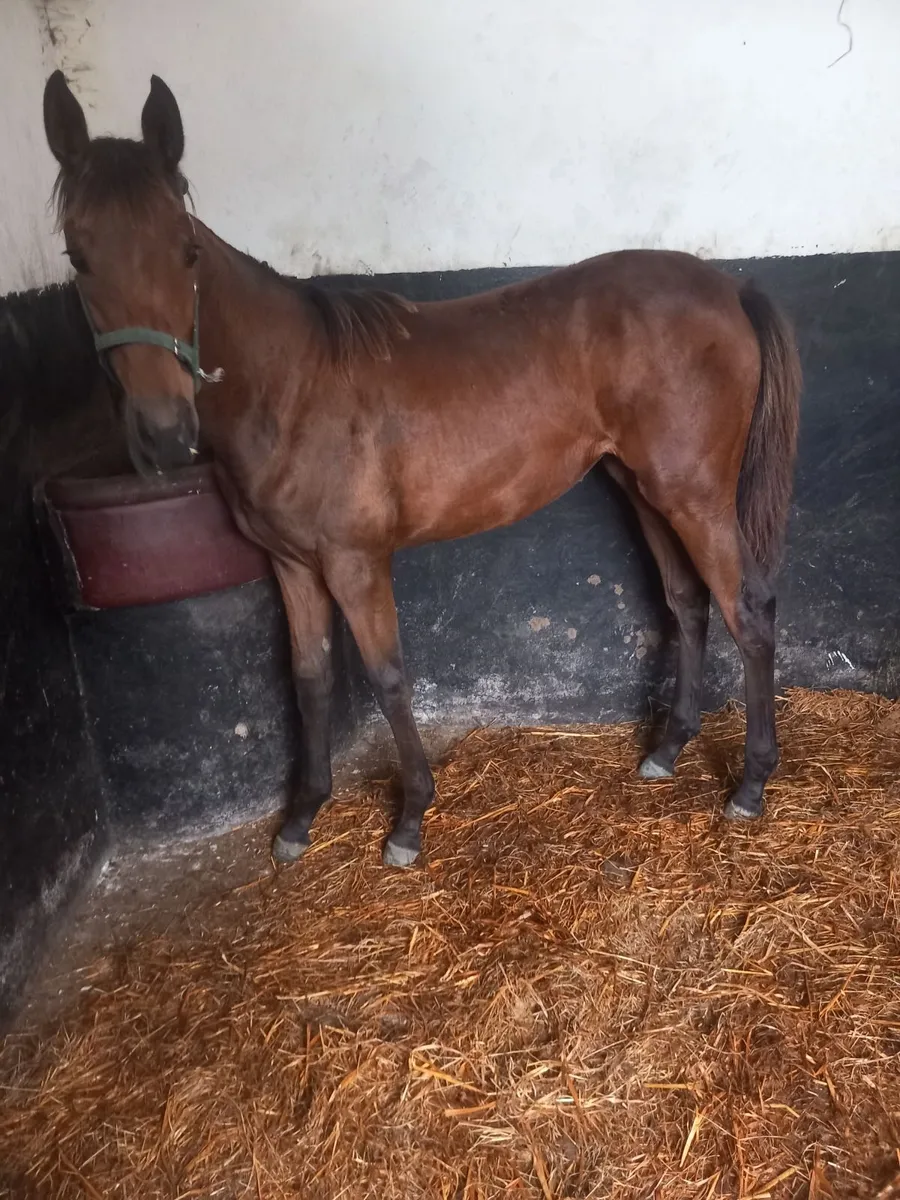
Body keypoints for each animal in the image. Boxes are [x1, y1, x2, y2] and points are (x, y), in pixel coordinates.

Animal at [41, 70, 801, 868]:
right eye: (78, 257)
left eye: (186, 251)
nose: (163, 433)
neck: (292, 385)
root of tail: (729, 288)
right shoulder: (291, 565)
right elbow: (309, 679)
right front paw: (302, 817)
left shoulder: (354, 563)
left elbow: (387, 677)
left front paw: (408, 820)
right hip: (647, 489)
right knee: (687, 603)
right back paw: (668, 749)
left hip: (696, 496)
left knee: (748, 609)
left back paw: (751, 784)